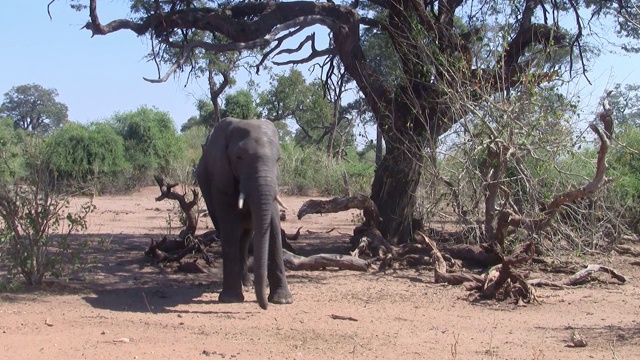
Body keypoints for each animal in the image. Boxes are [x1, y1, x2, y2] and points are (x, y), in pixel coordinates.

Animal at [196, 117, 294, 310]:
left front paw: (283, 301)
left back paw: (247, 284)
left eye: (278, 159)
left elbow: (273, 224)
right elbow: (229, 226)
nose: (264, 306)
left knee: (245, 238)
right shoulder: (221, 179)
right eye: (239, 157)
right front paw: (230, 299)